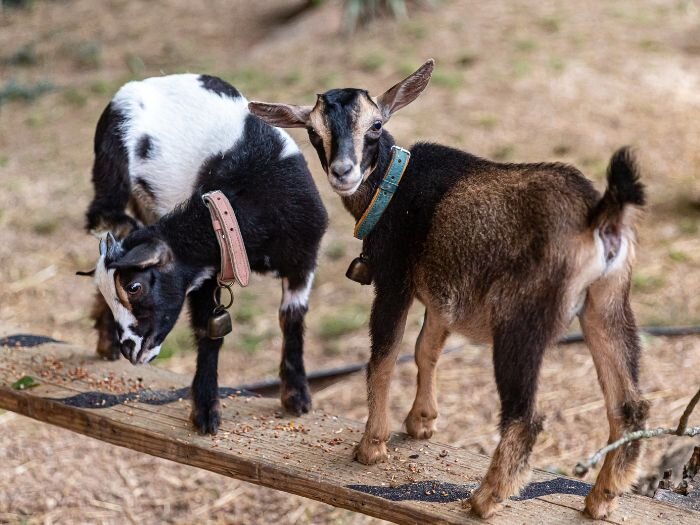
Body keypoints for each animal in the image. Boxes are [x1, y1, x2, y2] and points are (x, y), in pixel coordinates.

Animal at [82, 74, 328, 434]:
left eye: (134, 287)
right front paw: (206, 411)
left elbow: (292, 317)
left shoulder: (303, 260)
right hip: (113, 173)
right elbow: (207, 331)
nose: (130, 348)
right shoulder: (205, 274)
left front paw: (297, 396)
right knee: (106, 217)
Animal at [248, 60, 649, 519]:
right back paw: (600, 499)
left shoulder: (394, 281)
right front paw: (421, 421)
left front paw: (371, 447)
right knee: (629, 406)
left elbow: (383, 359)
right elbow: (426, 349)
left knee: (525, 416)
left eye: (375, 125)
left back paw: (485, 498)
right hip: (608, 302)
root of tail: (599, 214)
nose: (342, 172)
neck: (393, 186)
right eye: (314, 132)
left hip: (521, 319)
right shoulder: (443, 296)